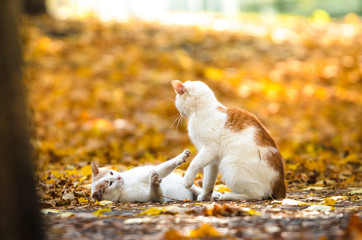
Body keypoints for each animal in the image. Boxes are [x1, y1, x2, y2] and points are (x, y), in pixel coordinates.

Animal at [90, 150, 221, 202]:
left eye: (111, 173)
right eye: (110, 183)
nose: (119, 178)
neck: (126, 184)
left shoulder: (146, 172)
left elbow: (165, 166)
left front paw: (181, 157)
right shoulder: (153, 197)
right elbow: (155, 191)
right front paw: (153, 180)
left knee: (196, 189)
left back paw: (214, 195)